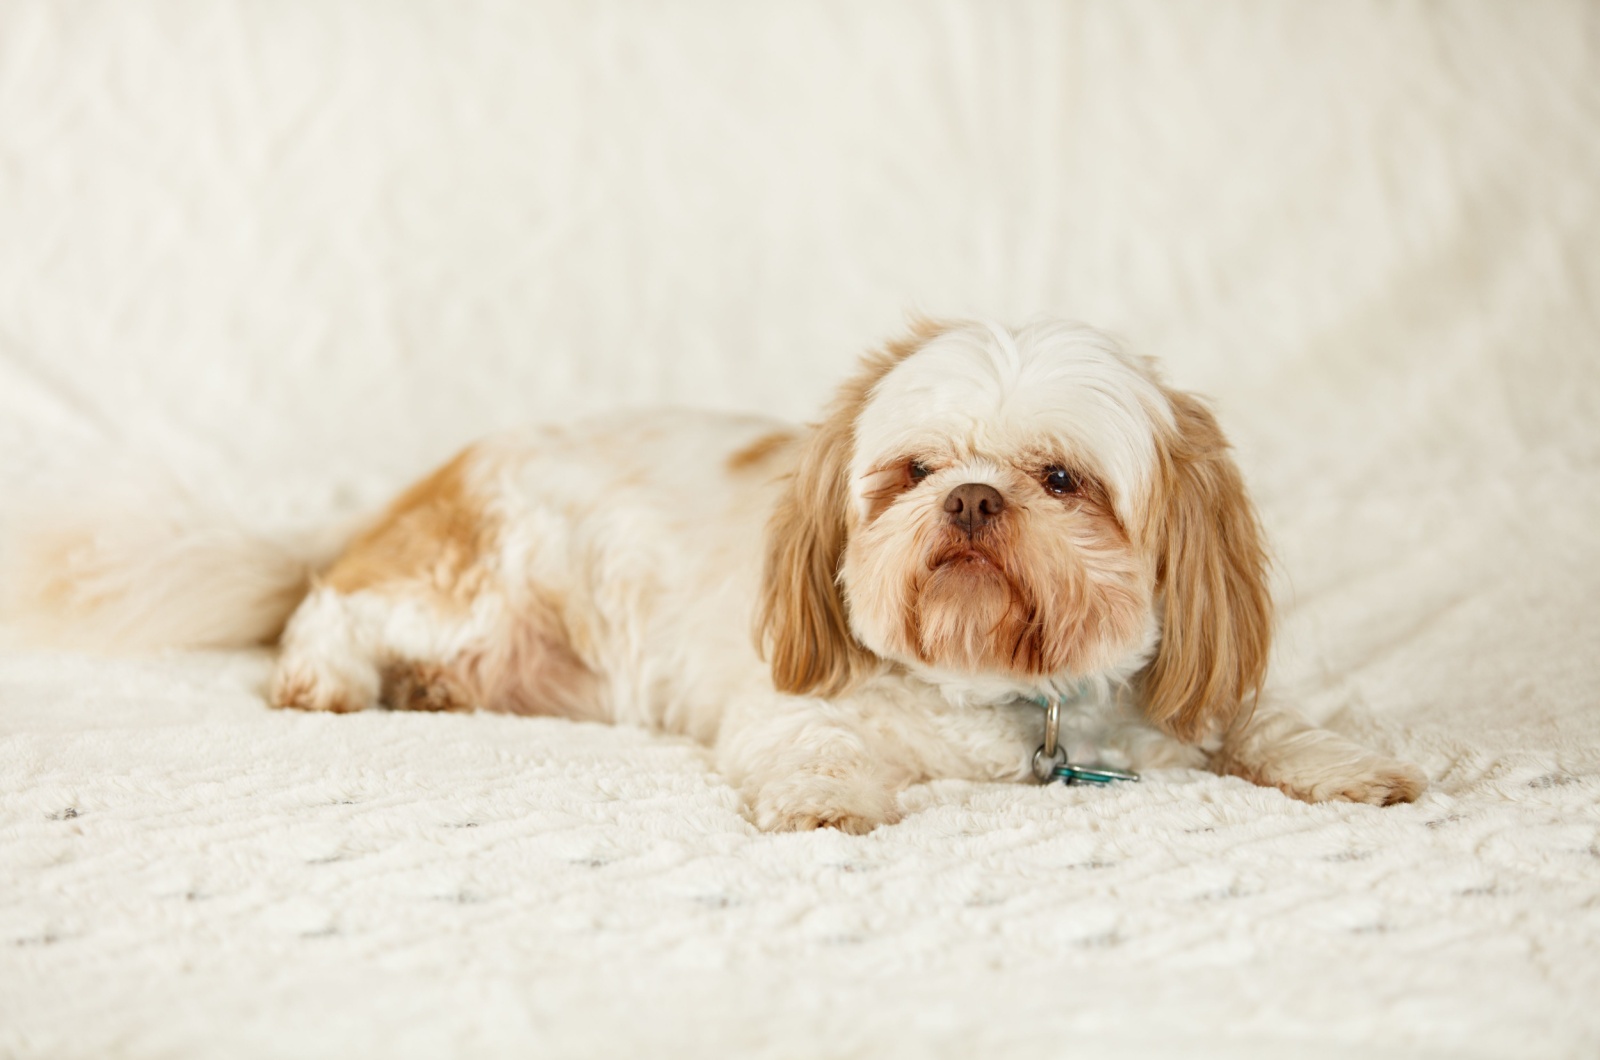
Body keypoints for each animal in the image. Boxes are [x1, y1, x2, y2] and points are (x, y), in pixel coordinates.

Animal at [3, 320, 1427, 832]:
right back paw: (324, 678)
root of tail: (408, 496)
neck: (1010, 694)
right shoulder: (785, 701)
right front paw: (827, 801)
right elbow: (810, 748)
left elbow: (1274, 716)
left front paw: (1352, 767)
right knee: (326, 608)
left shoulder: (1187, 686)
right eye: (912, 471)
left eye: (1061, 480)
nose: (972, 499)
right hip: (473, 567)